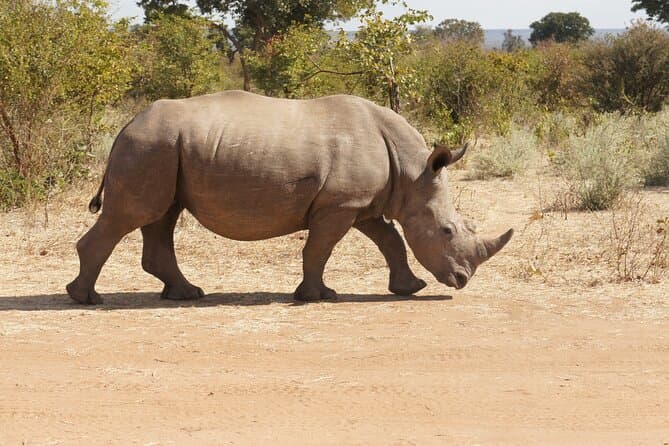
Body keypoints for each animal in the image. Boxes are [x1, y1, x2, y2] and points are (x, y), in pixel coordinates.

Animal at [66, 90, 513, 304]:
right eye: (447, 230)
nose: (462, 280)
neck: (412, 170)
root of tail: (126, 125)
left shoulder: (362, 204)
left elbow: (391, 240)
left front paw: (410, 288)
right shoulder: (340, 205)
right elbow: (320, 249)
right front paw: (319, 297)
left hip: (162, 148)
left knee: (162, 217)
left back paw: (187, 294)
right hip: (150, 146)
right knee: (132, 217)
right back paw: (87, 299)